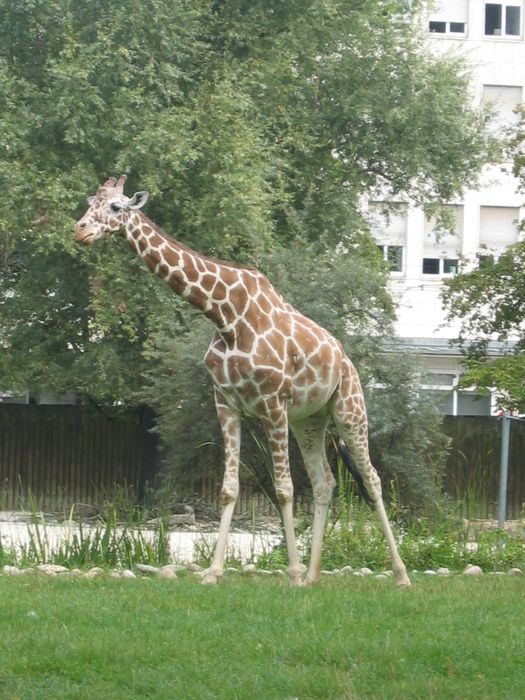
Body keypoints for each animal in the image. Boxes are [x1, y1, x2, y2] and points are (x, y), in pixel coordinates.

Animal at [74, 175, 410, 584]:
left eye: (116, 207)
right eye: (90, 203)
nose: (80, 230)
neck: (226, 316)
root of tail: (345, 359)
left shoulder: (272, 403)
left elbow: (283, 489)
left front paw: (291, 573)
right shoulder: (226, 403)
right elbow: (229, 489)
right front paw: (214, 572)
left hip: (349, 408)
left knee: (372, 479)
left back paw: (400, 575)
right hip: (308, 421)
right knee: (325, 482)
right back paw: (314, 576)